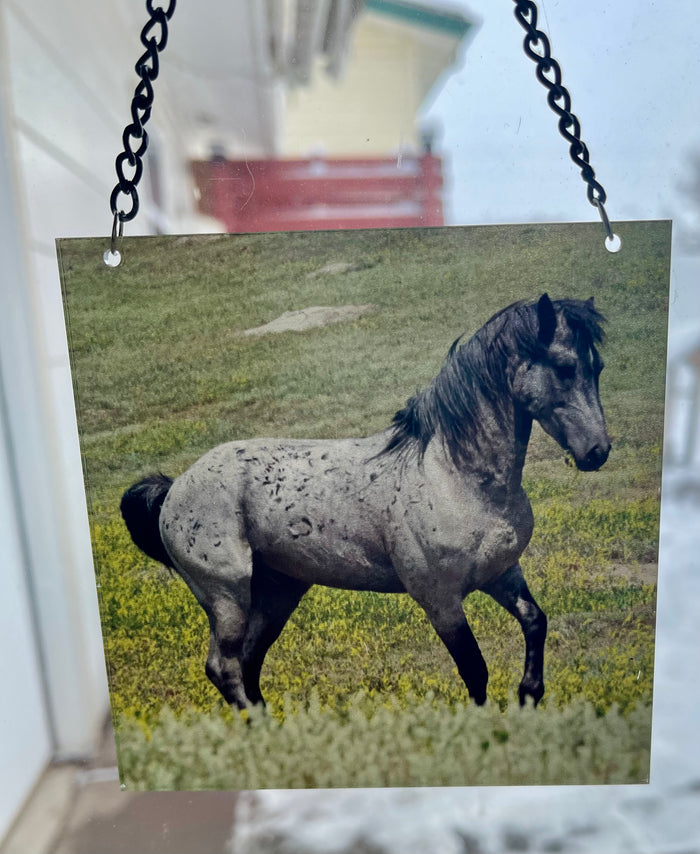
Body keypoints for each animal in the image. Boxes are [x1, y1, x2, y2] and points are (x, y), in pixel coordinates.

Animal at [121, 293, 610, 710]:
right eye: (565, 367)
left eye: (598, 367)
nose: (597, 452)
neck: (455, 476)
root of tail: (175, 487)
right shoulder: (439, 600)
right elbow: (474, 669)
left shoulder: (502, 574)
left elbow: (536, 621)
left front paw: (529, 693)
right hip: (227, 598)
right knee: (224, 668)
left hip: (278, 594)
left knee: (248, 663)